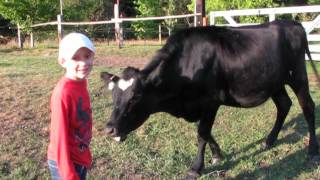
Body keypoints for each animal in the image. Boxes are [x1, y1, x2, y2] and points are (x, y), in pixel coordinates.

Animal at [100, 20, 318, 178]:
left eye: (135, 97)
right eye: (113, 95)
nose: (109, 129)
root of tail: (291, 22)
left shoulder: (210, 102)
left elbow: (202, 133)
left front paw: (196, 167)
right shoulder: (197, 105)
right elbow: (203, 130)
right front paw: (217, 155)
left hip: (298, 76)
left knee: (308, 107)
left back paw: (312, 151)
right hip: (274, 81)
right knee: (284, 105)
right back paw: (269, 140)